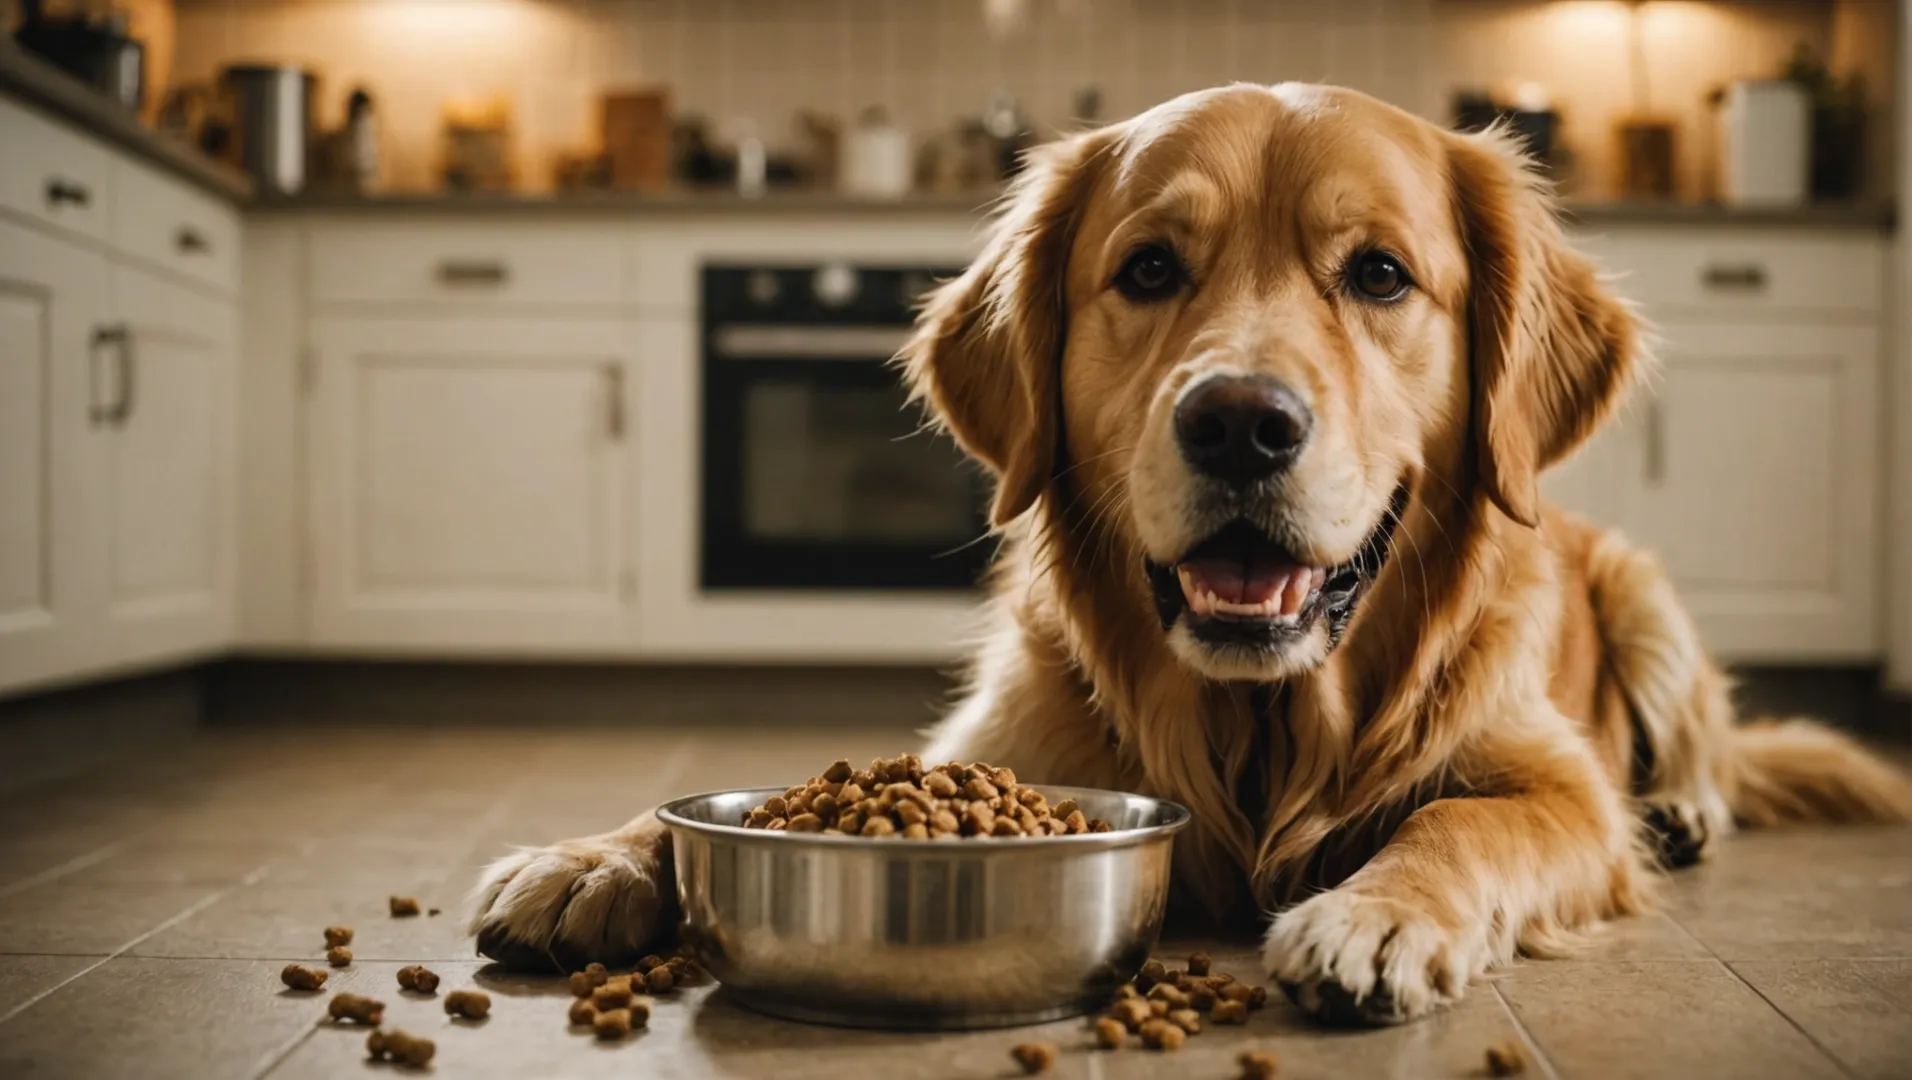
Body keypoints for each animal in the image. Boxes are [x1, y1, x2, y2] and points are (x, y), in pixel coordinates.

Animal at [466, 82, 1912, 1016]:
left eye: (1380, 275)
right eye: (1150, 269)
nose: (1240, 424)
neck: (1261, 726)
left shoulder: (1553, 788)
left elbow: (1460, 823)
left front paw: (1373, 913)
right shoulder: (990, 751)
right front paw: (595, 858)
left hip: (1648, 598)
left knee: (1702, 754)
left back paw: (1685, 810)